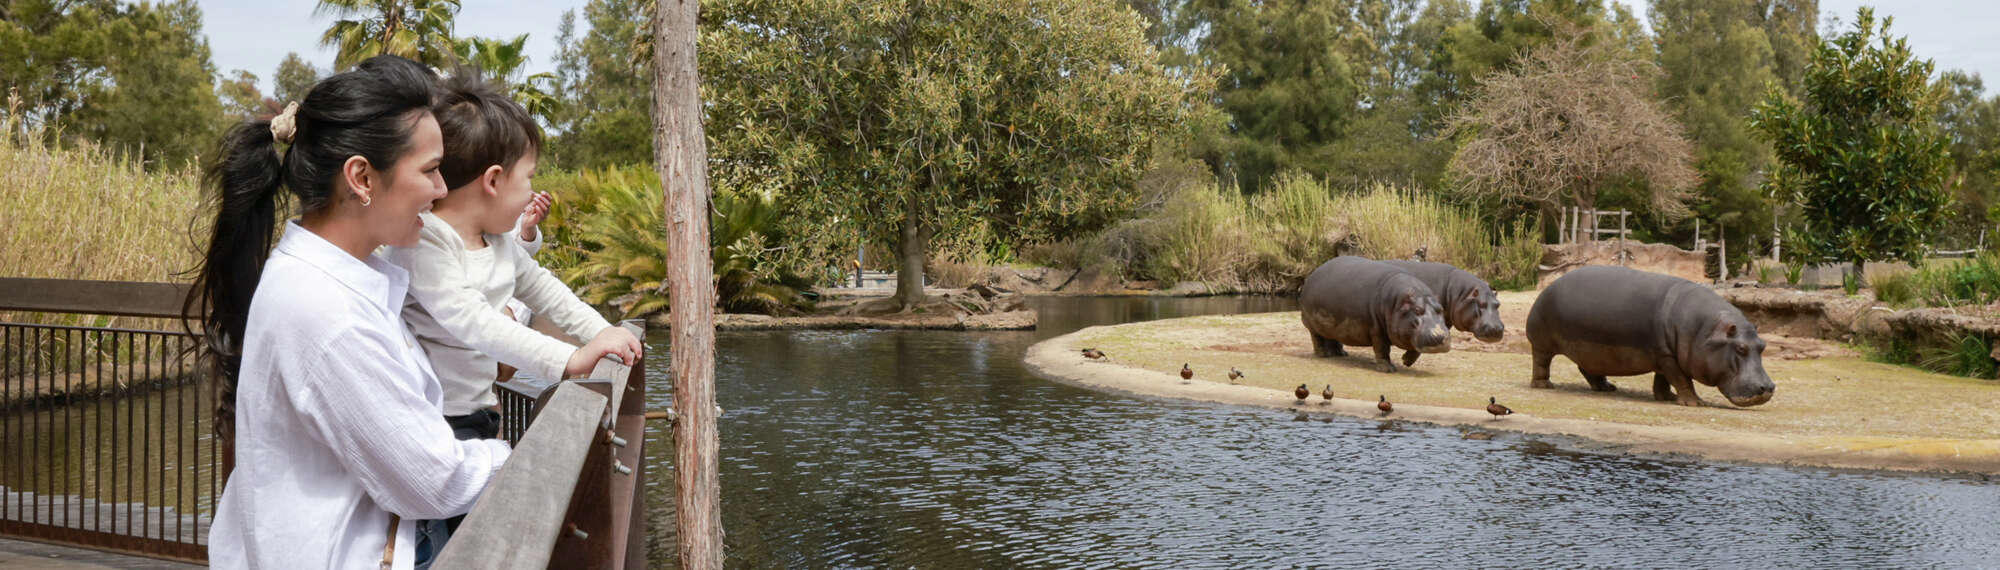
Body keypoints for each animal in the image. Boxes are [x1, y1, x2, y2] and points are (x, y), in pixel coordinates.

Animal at [1299, 256, 1452, 373]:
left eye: (1440, 309)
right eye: (1417, 310)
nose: (1440, 336)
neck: (1397, 303)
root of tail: (1313, 274)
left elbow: (1416, 349)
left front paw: (1406, 361)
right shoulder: (1377, 330)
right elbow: (1382, 349)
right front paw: (1388, 369)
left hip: (1333, 323)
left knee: (1333, 338)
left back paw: (1340, 353)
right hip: (1312, 325)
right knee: (1317, 338)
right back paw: (1323, 354)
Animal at [1526, 266, 1776, 407]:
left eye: (1762, 345)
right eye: (1740, 348)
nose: (1768, 387)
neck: (1706, 331)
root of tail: (1549, 286)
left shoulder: (1665, 354)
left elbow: (1664, 379)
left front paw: (1667, 398)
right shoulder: (1667, 356)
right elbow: (1682, 379)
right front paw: (1695, 403)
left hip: (1589, 350)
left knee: (1588, 368)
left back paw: (1607, 388)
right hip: (1541, 342)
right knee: (1541, 362)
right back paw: (1544, 385)